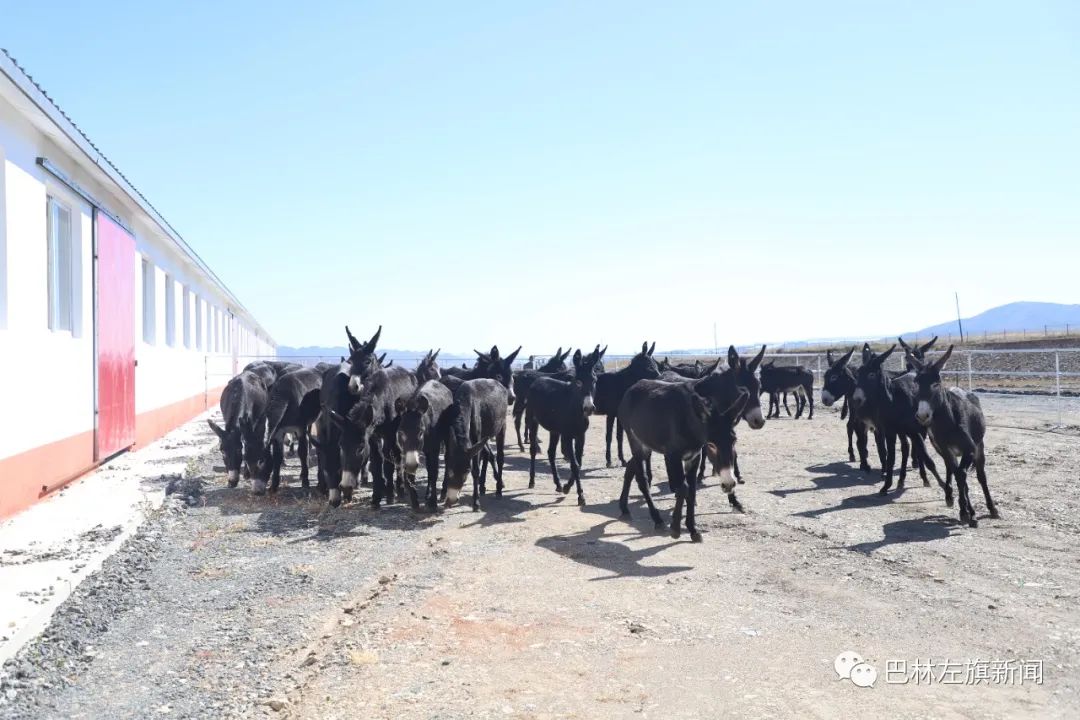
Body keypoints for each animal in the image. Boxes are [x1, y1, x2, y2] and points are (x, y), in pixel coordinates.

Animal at [909, 346, 999, 527]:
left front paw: (970, 513)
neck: (949, 423)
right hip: (943, 450)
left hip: (979, 447)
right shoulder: (946, 449)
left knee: (981, 476)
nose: (922, 416)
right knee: (951, 469)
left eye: (935, 384)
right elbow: (958, 475)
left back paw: (991, 508)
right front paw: (965, 511)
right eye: (916, 383)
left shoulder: (970, 449)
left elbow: (963, 476)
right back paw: (950, 497)